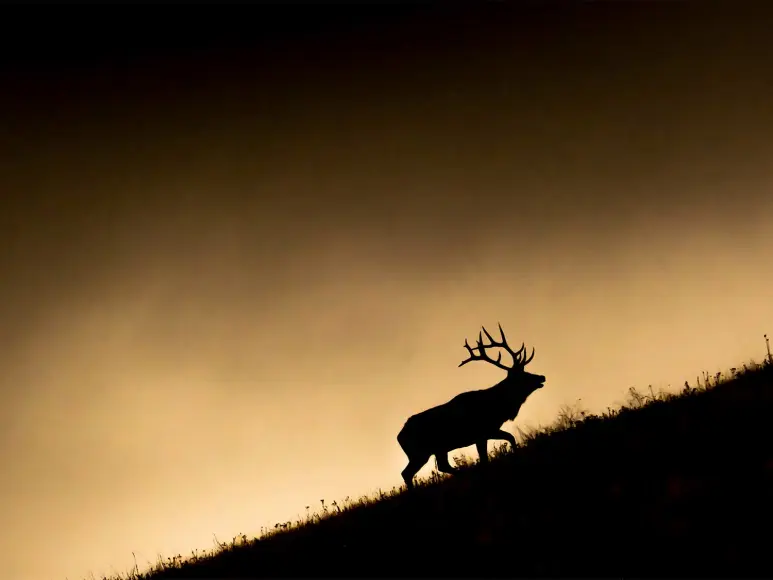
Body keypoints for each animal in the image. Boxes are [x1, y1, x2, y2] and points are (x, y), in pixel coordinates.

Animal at [396, 324, 544, 488]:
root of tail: (399, 437)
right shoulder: (482, 433)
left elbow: (510, 437)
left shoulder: (490, 430)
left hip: (438, 449)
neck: (498, 406)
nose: (541, 377)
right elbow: (486, 458)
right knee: (407, 473)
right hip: (419, 453)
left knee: (441, 466)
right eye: (521, 376)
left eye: (525, 371)